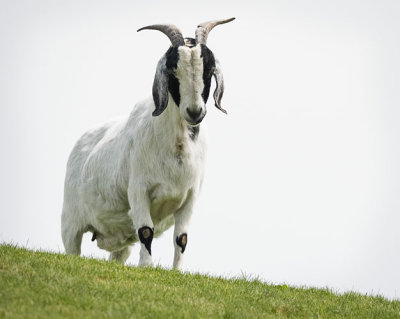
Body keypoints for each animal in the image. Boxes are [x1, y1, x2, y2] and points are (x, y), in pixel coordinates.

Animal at [60, 16, 234, 268]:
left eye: (209, 69)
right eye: (172, 69)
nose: (194, 112)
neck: (176, 148)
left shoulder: (190, 197)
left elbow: (182, 238)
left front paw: (176, 271)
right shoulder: (138, 190)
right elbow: (146, 231)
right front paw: (146, 267)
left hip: (119, 240)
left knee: (119, 254)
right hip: (70, 222)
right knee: (72, 248)